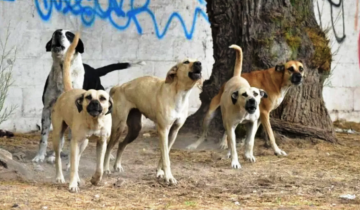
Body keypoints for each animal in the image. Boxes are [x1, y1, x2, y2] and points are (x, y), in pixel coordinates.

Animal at [32, 29, 139, 162]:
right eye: (54, 33)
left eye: (69, 35)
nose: (57, 33)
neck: (63, 71)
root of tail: (95, 71)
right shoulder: (47, 109)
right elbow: (44, 136)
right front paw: (41, 156)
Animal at [50, 32, 112, 193]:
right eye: (88, 97)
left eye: (103, 98)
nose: (94, 103)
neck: (94, 121)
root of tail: (69, 91)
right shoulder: (74, 142)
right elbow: (73, 166)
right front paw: (72, 184)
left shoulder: (102, 142)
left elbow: (99, 167)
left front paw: (95, 179)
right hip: (58, 136)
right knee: (59, 158)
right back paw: (60, 177)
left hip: (83, 143)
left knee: (77, 159)